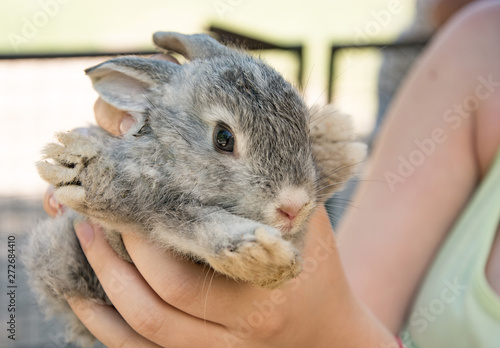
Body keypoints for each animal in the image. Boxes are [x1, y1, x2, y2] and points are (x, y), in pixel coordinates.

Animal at [24, 32, 368, 346]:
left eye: (303, 127)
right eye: (223, 138)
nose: (294, 207)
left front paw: (339, 139)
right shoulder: (149, 216)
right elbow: (185, 220)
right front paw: (262, 256)